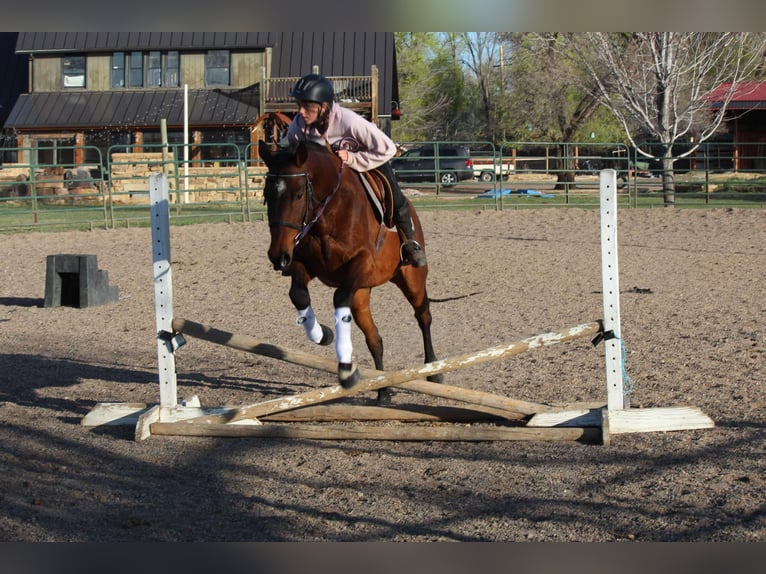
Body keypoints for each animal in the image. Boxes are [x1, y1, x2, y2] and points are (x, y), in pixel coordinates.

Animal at [258, 139, 442, 404]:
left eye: (299, 194)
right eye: (266, 195)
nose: (278, 256)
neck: (328, 215)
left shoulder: (362, 264)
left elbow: (339, 299)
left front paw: (345, 369)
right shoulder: (304, 264)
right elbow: (299, 295)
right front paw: (323, 334)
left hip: (411, 280)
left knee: (423, 315)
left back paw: (433, 369)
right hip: (362, 293)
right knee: (375, 339)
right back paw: (382, 390)